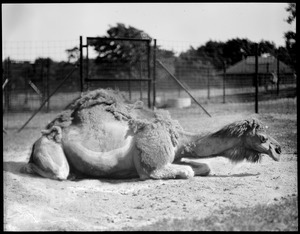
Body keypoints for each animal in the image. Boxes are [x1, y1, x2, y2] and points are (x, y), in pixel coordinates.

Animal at [21, 88, 282, 180]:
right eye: (262, 138)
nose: (279, 149)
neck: (179, 138)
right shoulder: (152, 165)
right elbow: (184, 172)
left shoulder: (177, 154)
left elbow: (205, 167)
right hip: (51, 151)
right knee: (58, 171)